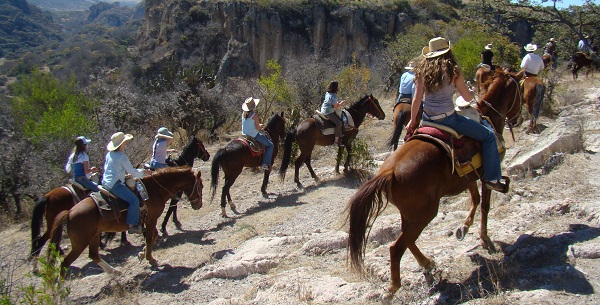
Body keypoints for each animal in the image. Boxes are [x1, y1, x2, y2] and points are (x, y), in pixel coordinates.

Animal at [32, 137, 211, 258]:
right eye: (201, 146)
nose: (208, 156)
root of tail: (47, 196)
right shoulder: (174, 196)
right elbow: (171, 210)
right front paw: (168, 226)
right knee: (44, 239)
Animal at [47, 166, 202, 276]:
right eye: (201, 186)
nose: (198, 205)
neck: (155, 189)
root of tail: (69, 213)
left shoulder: (149, 220)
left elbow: (154, 236)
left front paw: (142, 254)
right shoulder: (151, 219)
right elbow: (150, 237)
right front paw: (150, 259)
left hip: (94, 236)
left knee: (93, 255)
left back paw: (115, 272)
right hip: (80, 243)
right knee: (65, 263)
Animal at [346, 70, 520, 296]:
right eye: (519, 88)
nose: (518, 118)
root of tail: (388, 172)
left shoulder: (469, 177)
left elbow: (475, 200)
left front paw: (463, 228)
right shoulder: (485, 177)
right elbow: (485, 206)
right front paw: (485, 240)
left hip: (410, 213)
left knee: (407, 239)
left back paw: (427, 263)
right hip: (425, 213)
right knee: (397, 247)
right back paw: (394, 286)